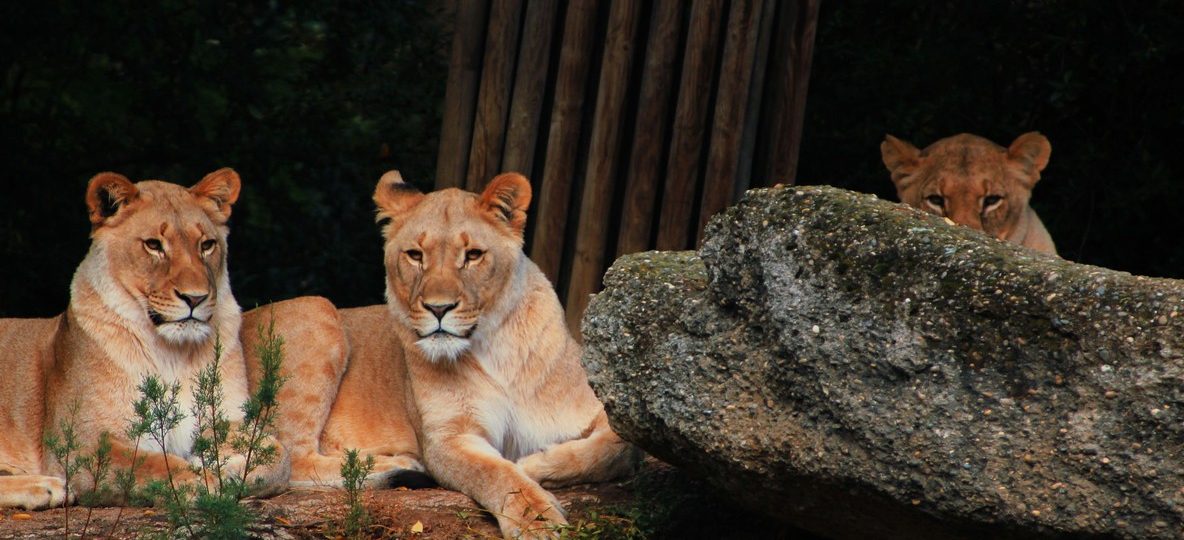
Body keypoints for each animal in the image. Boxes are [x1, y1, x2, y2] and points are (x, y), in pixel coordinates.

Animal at [0, 169, 289, 510]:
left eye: (206, 245)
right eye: (153, 245)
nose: (195, 297)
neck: (174, 353)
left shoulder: (229, 419)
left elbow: (279, 456)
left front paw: (226, 466)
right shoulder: (79, 444)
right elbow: (151, 464)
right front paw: (206, 480)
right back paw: (46, 487)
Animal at [251, 171, 640, 538]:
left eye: (473, 255)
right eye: (415, 255)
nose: (439, 309)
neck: (495, 349)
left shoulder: (599, 406)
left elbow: (619, 447)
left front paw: (536, 464)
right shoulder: (448, 437)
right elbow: (496, 474)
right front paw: (537, 521)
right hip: (319, 309)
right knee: (293, 458)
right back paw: (393, 465)